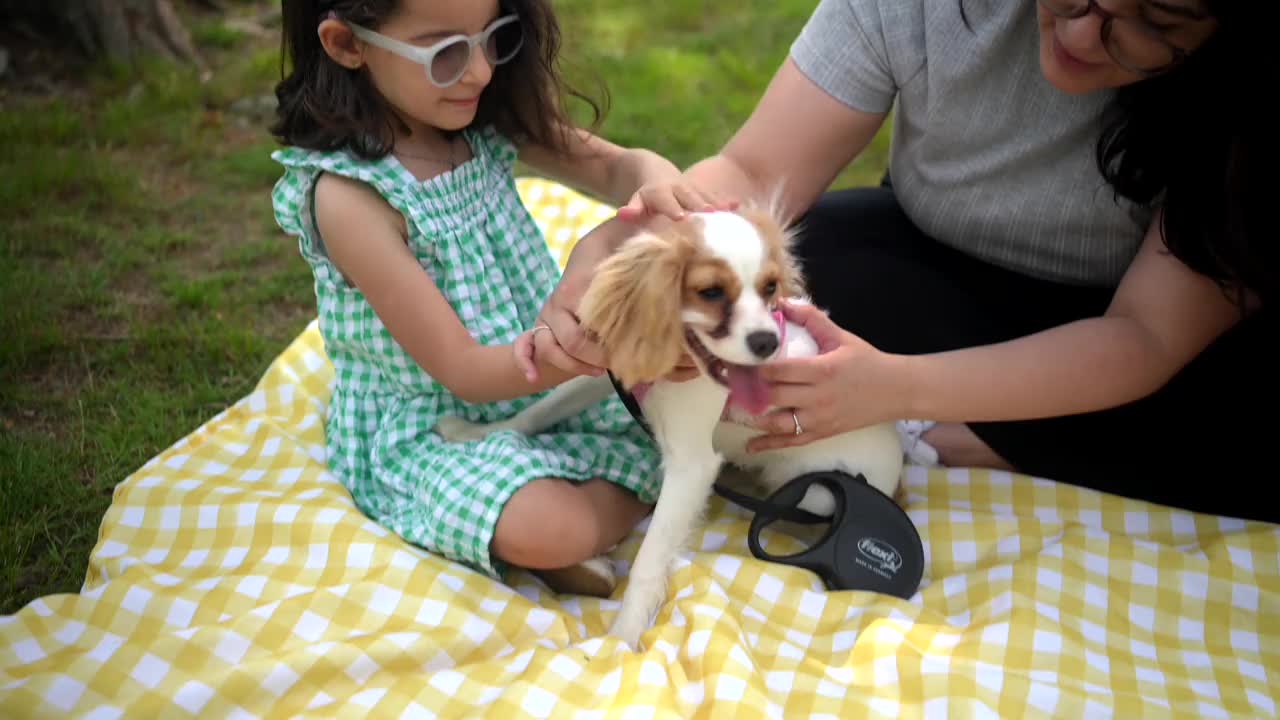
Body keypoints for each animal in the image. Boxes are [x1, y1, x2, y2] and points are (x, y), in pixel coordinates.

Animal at [435, 204, 906, 648]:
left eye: (770, 288)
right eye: (711, 292)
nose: (768, 343)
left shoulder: (691, 466)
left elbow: (648, 558)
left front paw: (623, 637)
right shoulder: (609, 372)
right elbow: (543, 408)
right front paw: (476, 432)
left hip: (816, 490)